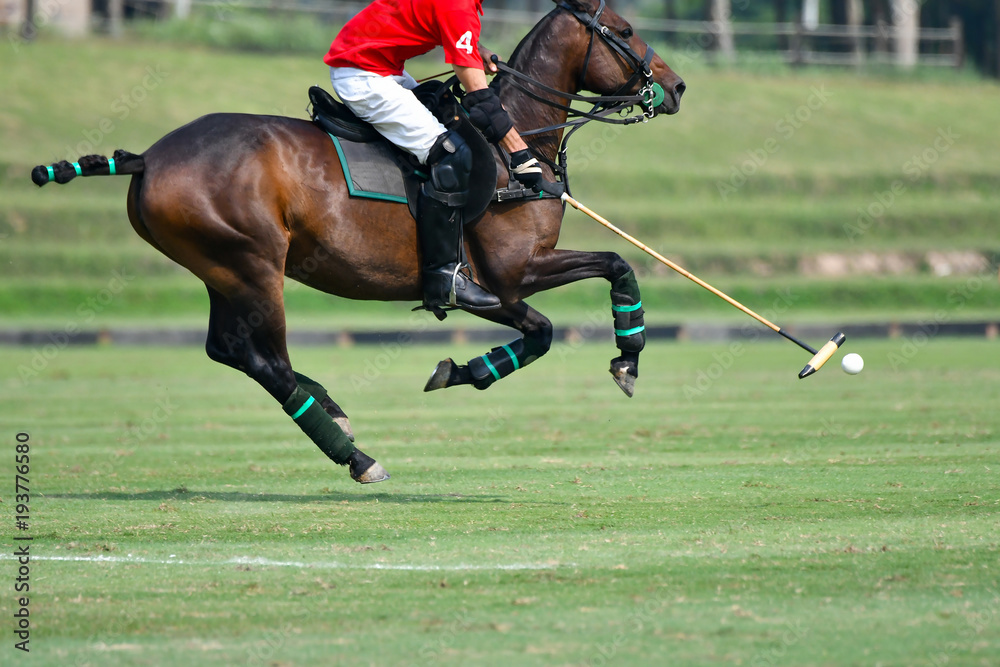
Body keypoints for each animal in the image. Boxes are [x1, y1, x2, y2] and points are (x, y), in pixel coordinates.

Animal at [33, 0, 688, 482]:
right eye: (625, 30)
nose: (677, 87)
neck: (517, 136)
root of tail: (147, 158)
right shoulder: (513, 269)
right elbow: (617, 264)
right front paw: (627, 360)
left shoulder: (493, 288)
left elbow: (543, 331)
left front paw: (461, 370)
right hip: (252, 265)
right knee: (264, 359)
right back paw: (355, 453)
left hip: (218, 267)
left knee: (228, 349)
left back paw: (333, 409)